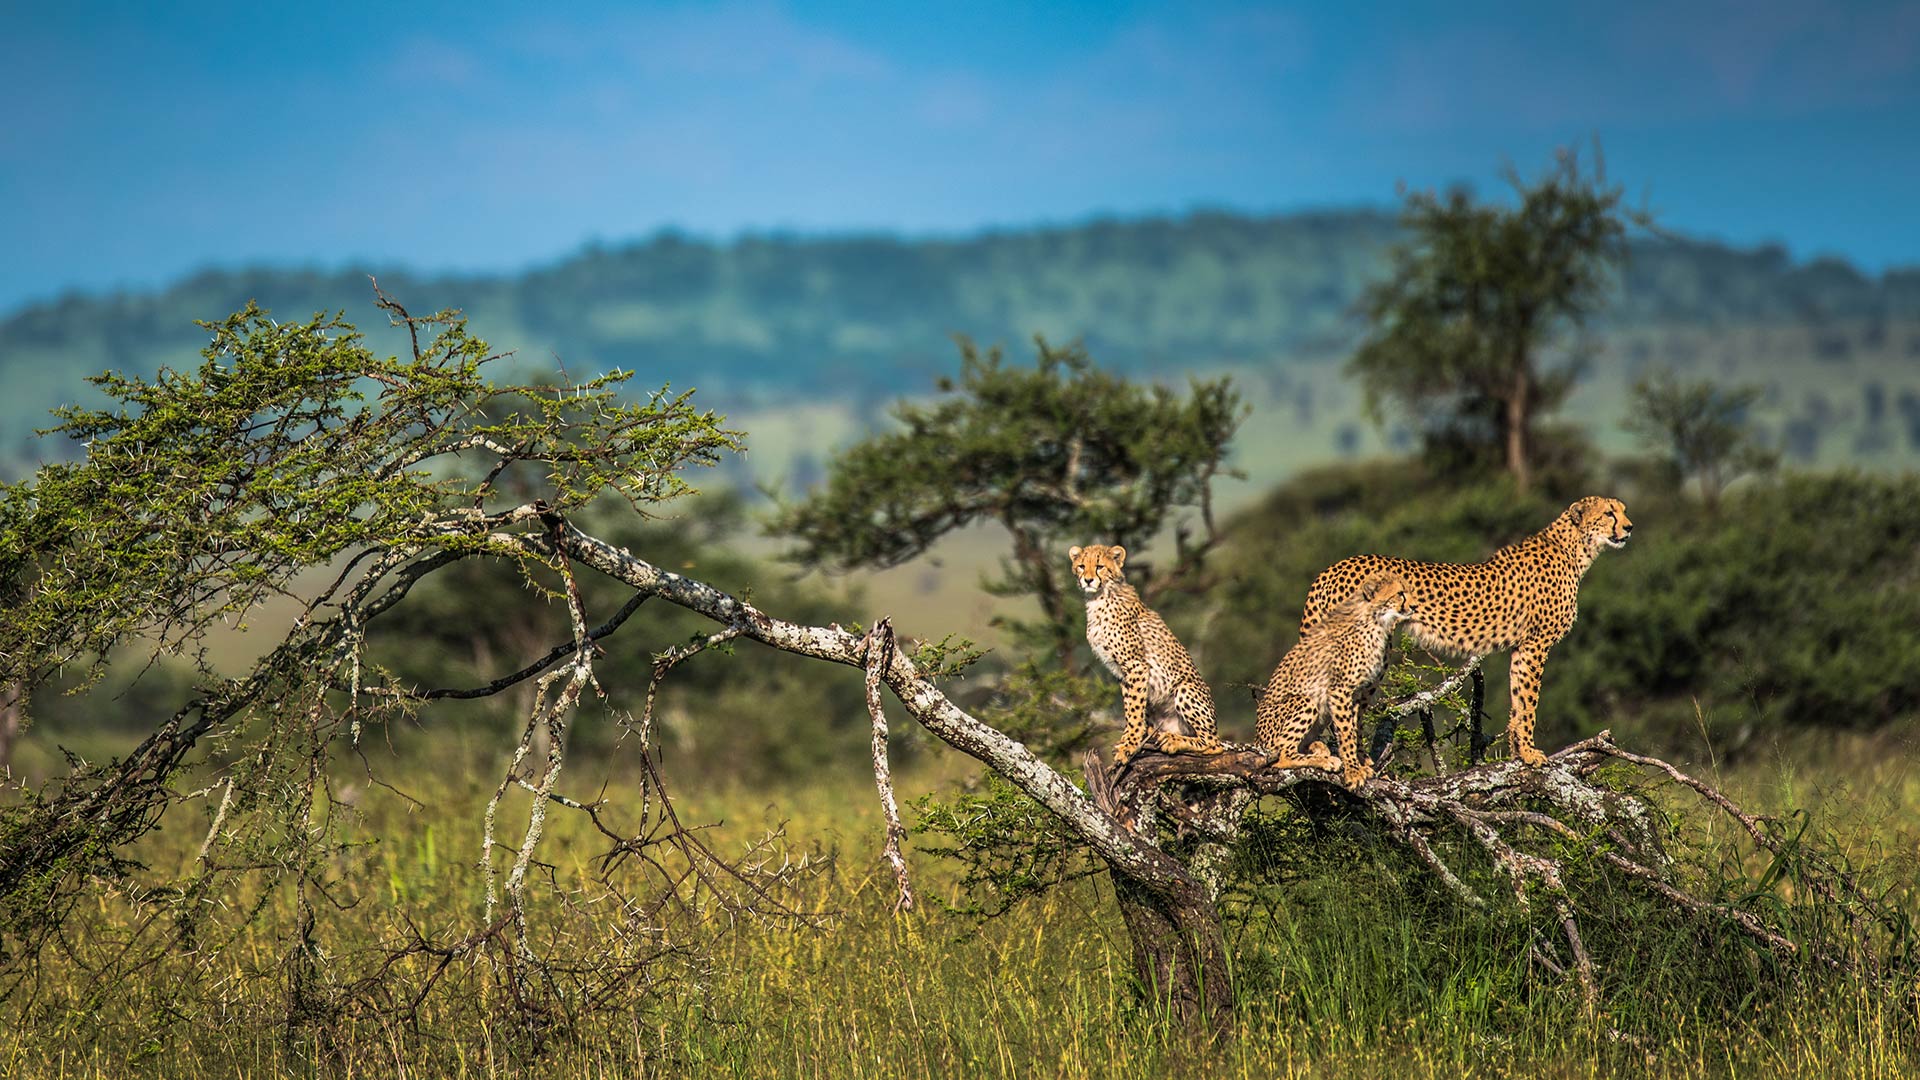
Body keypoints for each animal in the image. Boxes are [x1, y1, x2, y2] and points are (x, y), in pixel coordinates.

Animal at [1075, 541, 1221, 760]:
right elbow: (1130, 707)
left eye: (1100, 566)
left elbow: (1134, 710)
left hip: (1185, 687)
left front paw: (1130, 744)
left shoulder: (1136, 665)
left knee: (1213, 743)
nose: (1088, 580)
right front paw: (1127, 739)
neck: (1098, 598)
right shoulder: (1121, 671)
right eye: (1082, 566)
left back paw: (1173, 741)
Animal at [1251, 568, 1420, 787]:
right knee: (1282, 754)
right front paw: (1354, 771)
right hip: (1304, 702)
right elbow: (1346, 732)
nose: (1415, 606)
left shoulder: (1357, 694)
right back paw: (1325, 760)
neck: (1377, 620)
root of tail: (1257, 740)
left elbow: (1354, 729)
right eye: (1400, 593)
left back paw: (1319, 749)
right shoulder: (1340, 690)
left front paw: (1361, 765)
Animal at [1290, 495, 1635, 764]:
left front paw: (1517, 754)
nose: (1629, 527)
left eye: (1622, 509)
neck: (1573, 548)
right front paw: (1530, 754)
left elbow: (1517, 700)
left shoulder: (1521, 648)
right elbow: (1529, 702)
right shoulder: (1536, 643)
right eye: (1609, 513)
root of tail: (1334, 567)